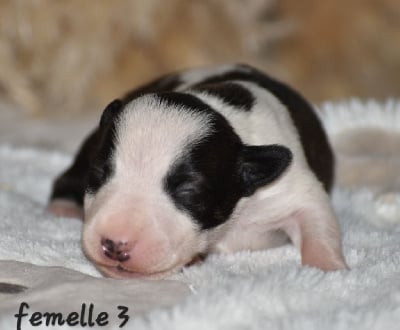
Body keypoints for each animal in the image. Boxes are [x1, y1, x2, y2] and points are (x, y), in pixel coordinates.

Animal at [47, 63, 346, 278]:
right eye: (99, 175)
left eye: (189, 191)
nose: (115, 244)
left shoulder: (293, 188)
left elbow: (316, 221)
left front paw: (328, 270)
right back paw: (63, 208)